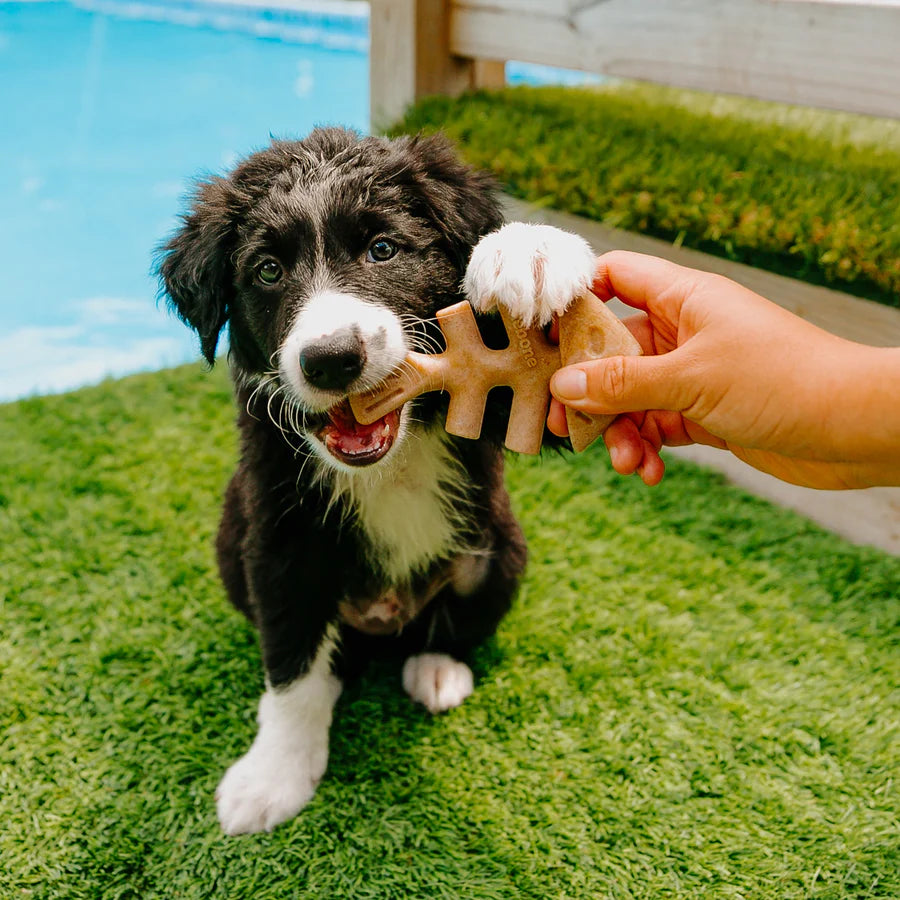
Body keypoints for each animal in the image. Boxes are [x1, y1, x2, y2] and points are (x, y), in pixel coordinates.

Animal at [160, 128, 596, 836]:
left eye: (383, 249)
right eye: (268, 271)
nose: (332, 359)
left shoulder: (505, 401)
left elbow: (562, 388)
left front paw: (527, 250)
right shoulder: (278, 538)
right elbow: (290, 663)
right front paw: (272, 778)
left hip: (502, 547)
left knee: (452, 621)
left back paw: (438, 671)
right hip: (232, 538)